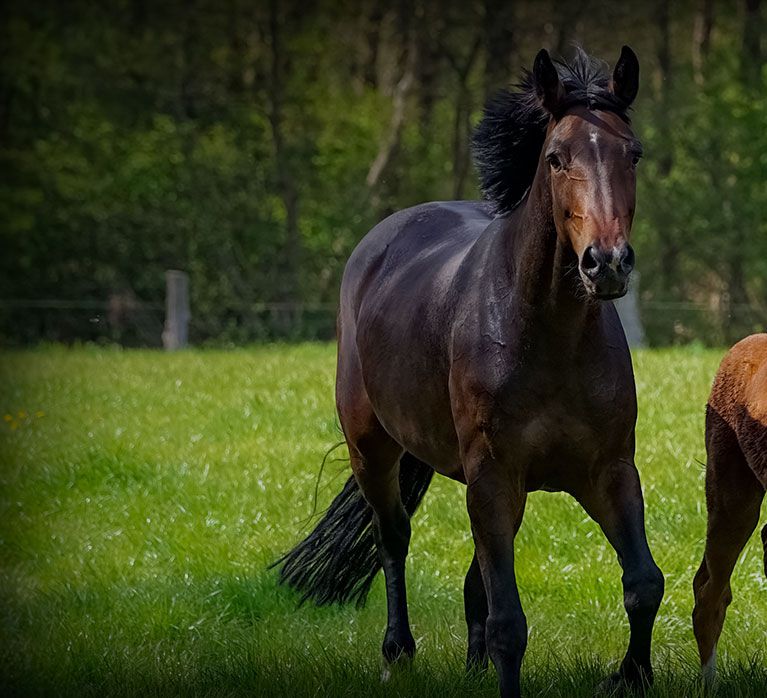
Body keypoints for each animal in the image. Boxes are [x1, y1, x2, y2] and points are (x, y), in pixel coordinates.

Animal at [276, 46, 664, 692]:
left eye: (631, 153)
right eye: (556, 157)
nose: (606, 263)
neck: (547, 338)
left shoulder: (607, 471)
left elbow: (643, 584)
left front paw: (629, 678)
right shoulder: (493, 475)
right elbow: (510, 620)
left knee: (472, 577)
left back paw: (472, 665)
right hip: (372, 448)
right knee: (393, 539)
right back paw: (398, 651)